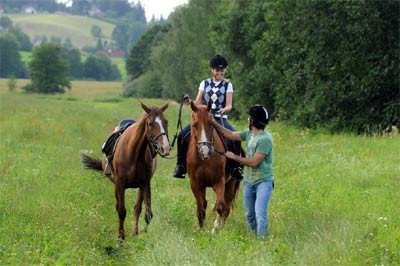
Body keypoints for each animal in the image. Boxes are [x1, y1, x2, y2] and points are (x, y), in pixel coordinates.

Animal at [80, 101, 170, 242]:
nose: (165, 148)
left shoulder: (145, 183)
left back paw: (135, 232)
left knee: (137, 208)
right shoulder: (120, 184)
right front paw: (121, 239)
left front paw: (140, 235)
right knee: (119, 206)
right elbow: (121, 211)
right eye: (150, 124)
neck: (134, 152)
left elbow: (147, 213)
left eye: (166, 122)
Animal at [186, 101, 239, 232]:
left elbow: (220, 206)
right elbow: (201, 206)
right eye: (194, 125)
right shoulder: (195, 183)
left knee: (227, 207)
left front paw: (215, 228)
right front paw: (201, 229)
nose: (205, 151)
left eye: (211, 125)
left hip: (231, 182)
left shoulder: (219, 181)